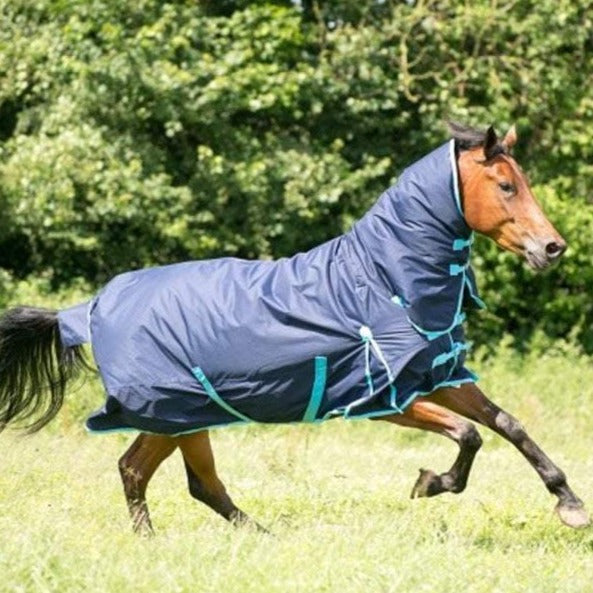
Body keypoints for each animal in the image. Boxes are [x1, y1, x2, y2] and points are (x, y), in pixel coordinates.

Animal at [0, 122, 588, 536]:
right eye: (507, 185)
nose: (553, 248)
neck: (381, 280)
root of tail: (90, 306)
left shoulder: (437, 380)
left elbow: (508, 426)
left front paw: (570, 503)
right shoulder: (385, 399)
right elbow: (469, 435)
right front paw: (429, 483)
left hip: (184, 417)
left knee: (182, 479)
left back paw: (256, 536)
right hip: (172, 413)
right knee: (142, 472)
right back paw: (159, 541)